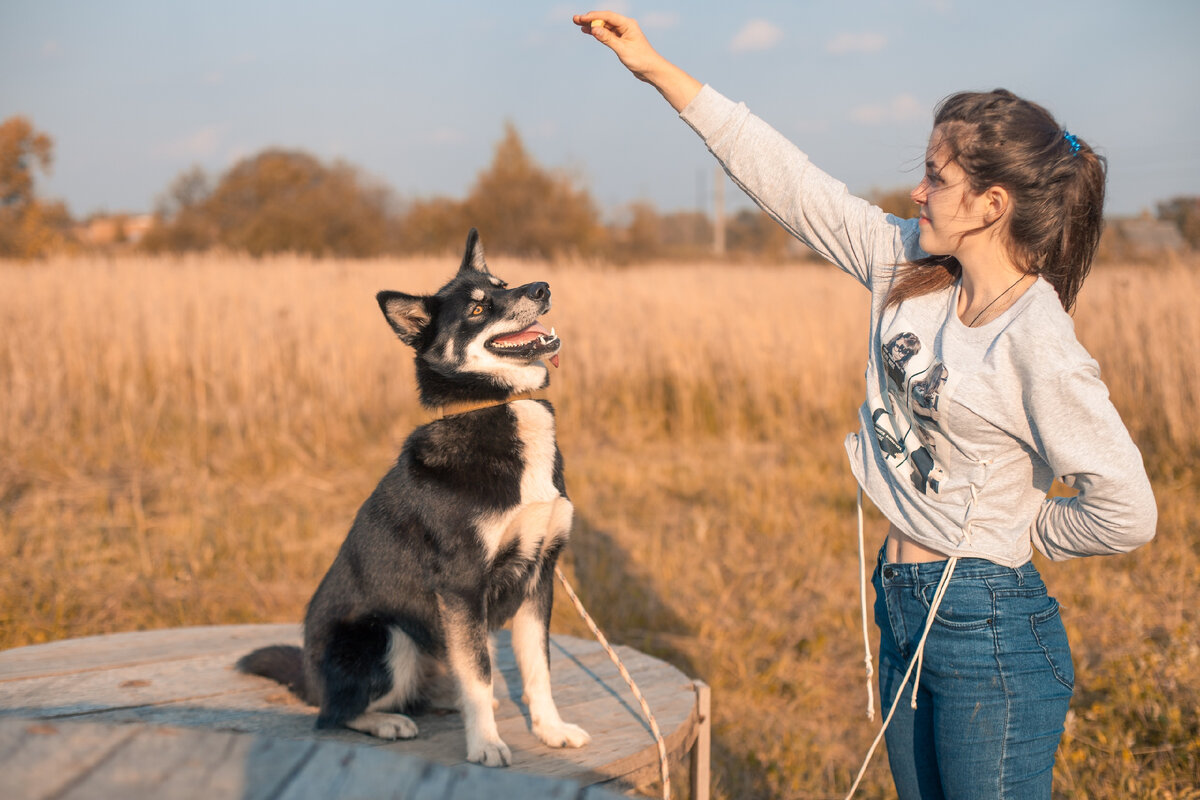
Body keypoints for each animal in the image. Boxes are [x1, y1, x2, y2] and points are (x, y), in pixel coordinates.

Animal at [236, 227, 588, 767]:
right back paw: (387, 721)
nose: (541, 287)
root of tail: (312, 678)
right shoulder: (462, 586)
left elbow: (537, 669)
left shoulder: (539, 576)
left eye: (503, 283)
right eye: (477, 308)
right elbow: (479, 676)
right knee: (335, 714)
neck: (496, 405)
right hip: (390, 637)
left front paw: (550, 730)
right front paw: (485, 744)